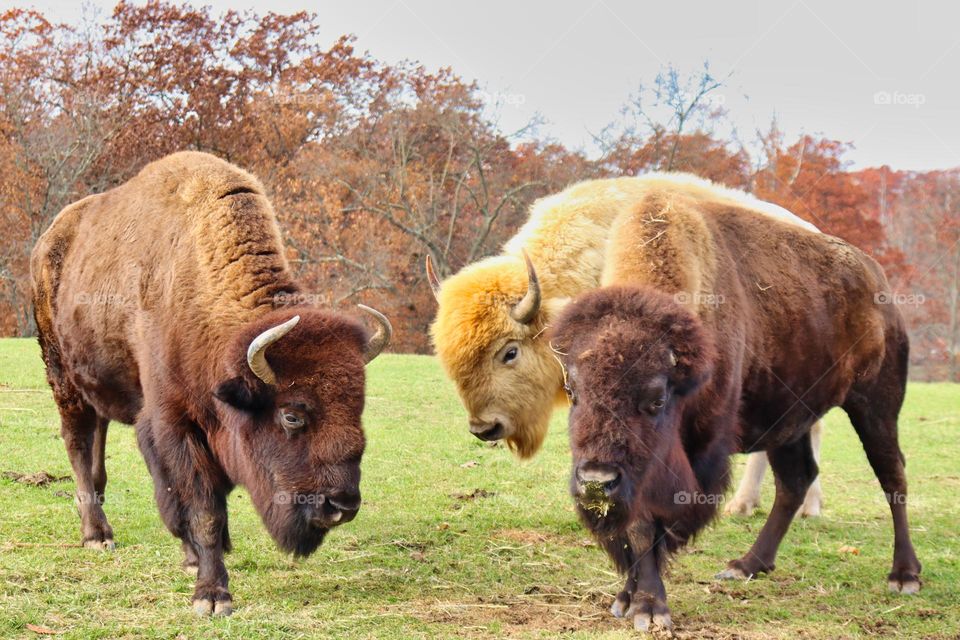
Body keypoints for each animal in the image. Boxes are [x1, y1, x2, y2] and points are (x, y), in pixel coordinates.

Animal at [31, 150, 390, 616]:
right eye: (292, 415)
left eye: (357, 407)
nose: (342, 505)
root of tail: (48, 241)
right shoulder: (175, 424)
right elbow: (203, 509)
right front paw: (212, 595)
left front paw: (195, 561)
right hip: (62, 376)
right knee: (77, 441)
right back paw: (96, 535)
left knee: (98, 440)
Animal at [548, 190, 924, 632]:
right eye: (572, 391)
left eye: (657, 399)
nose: (595, 481)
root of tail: (877, 281)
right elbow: (639, 529)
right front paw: (629, 599)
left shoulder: (694, 453)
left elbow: (654, 523)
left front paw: (650, 607)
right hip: (790, 420)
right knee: (796, 480)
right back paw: (747, 565)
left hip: (876, 405)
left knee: (893, 475)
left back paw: (904, 575)